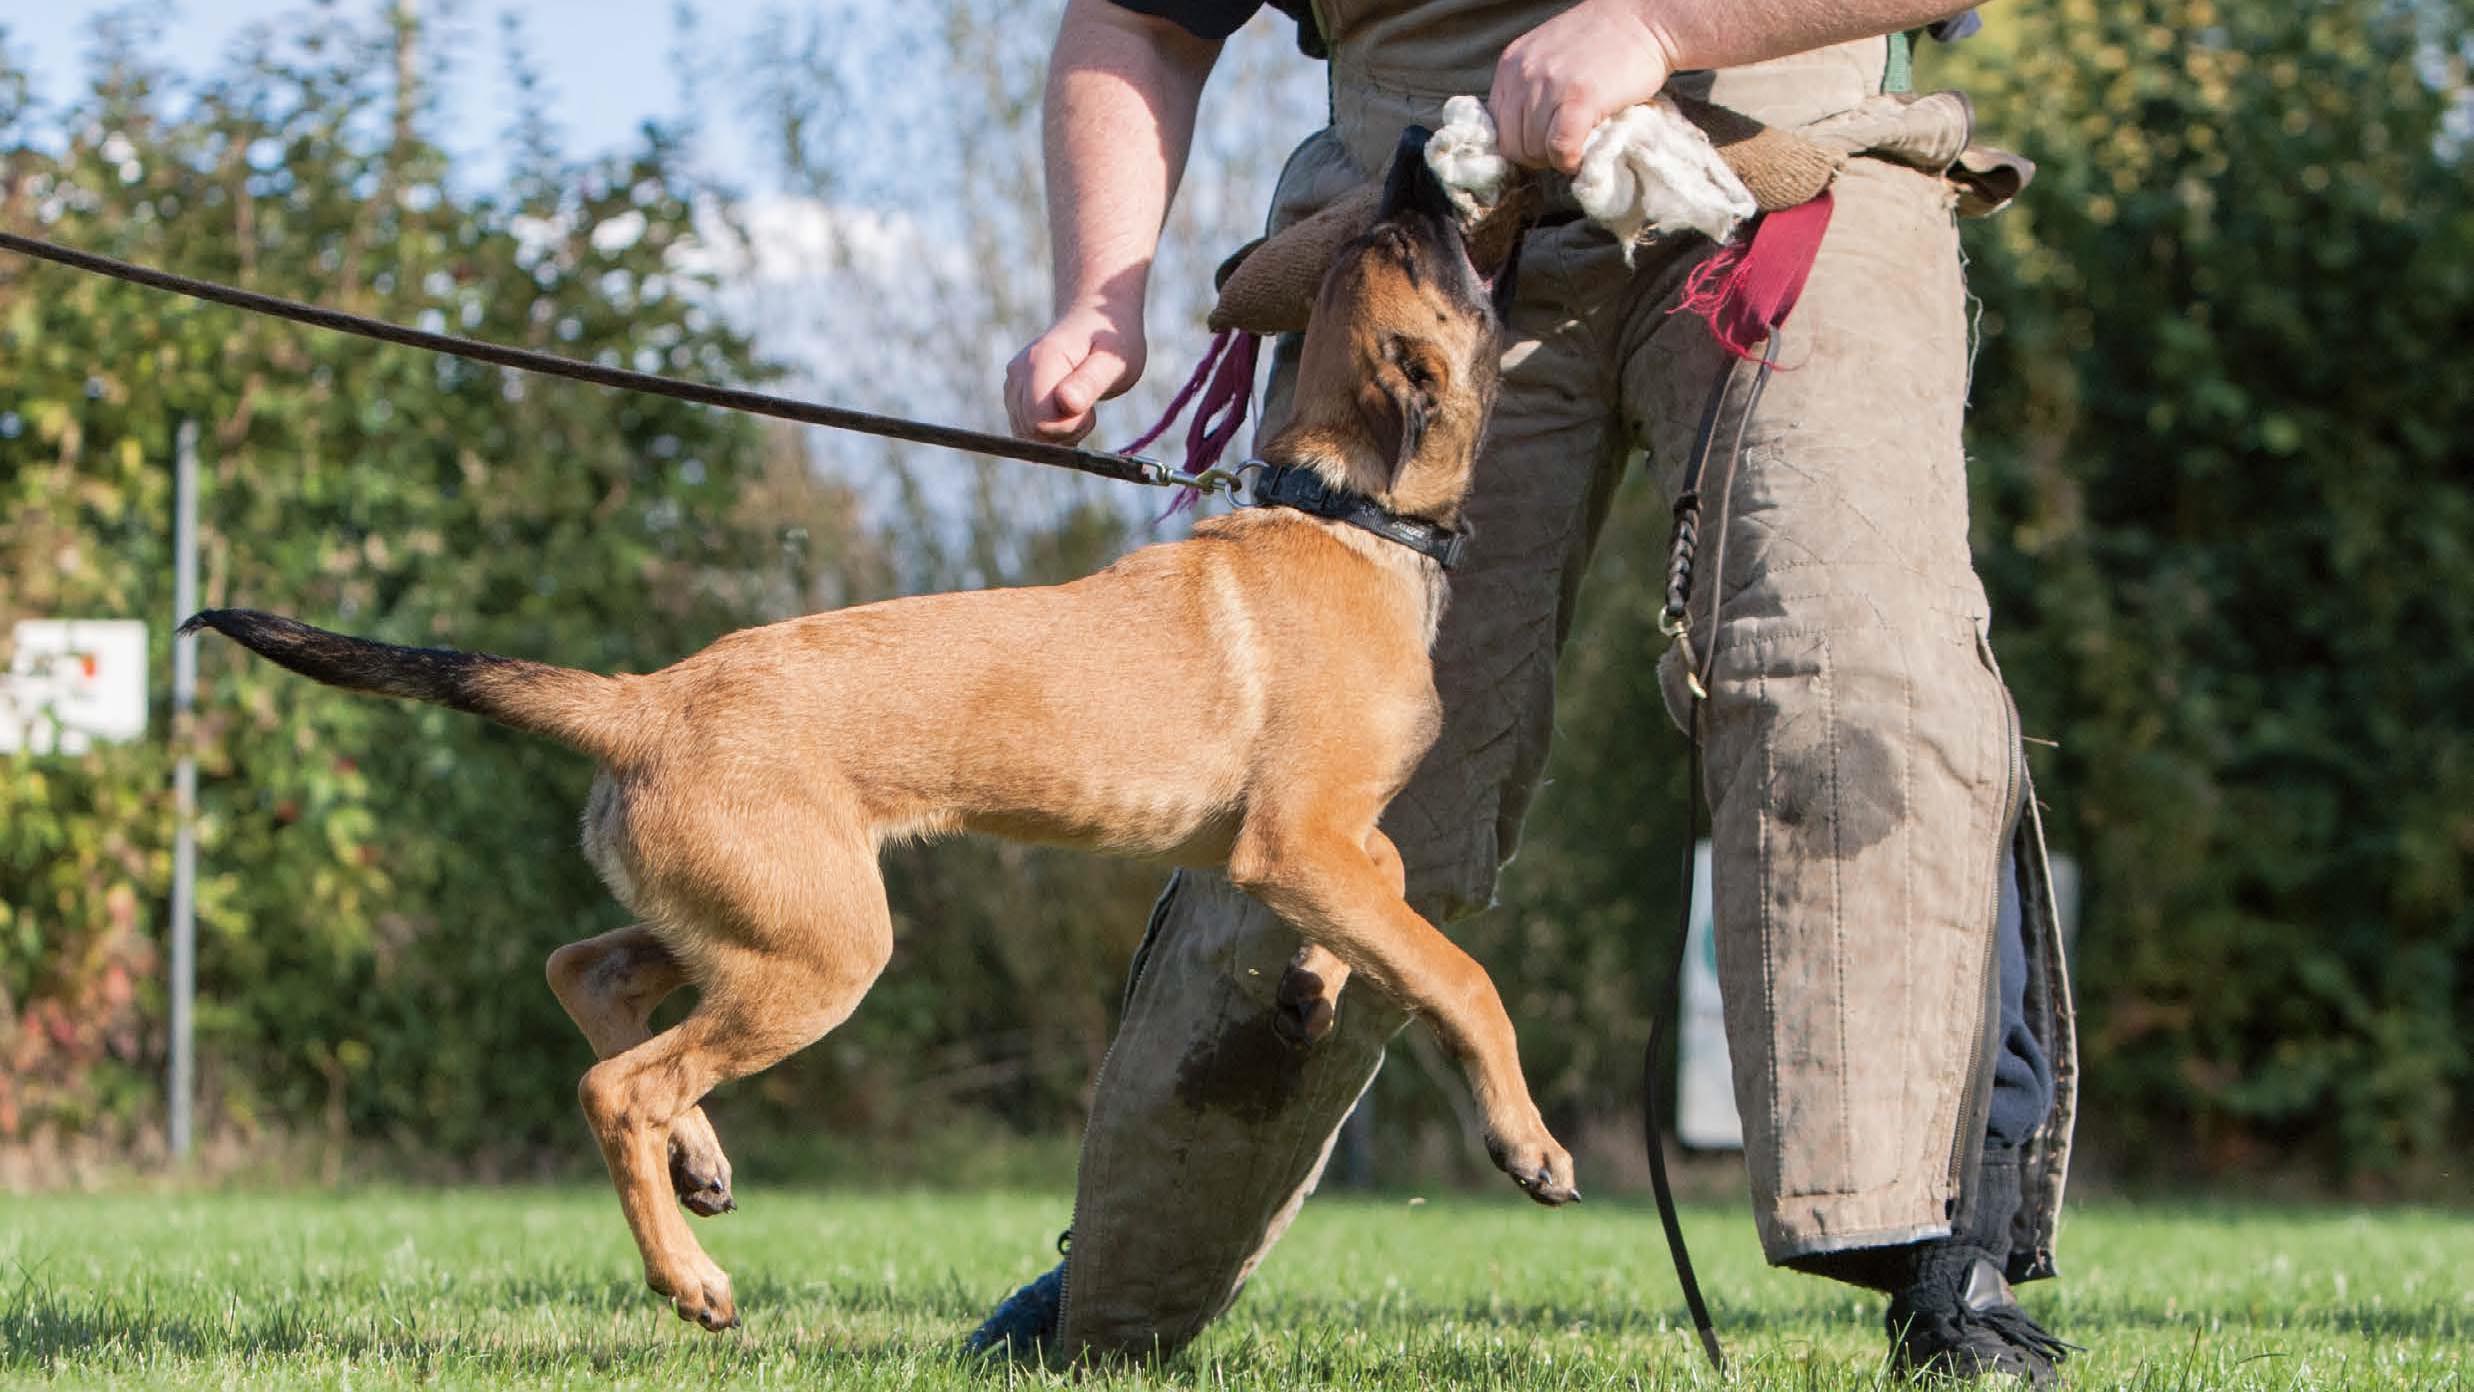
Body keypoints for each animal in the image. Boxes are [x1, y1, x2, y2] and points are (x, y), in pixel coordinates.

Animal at [197, 133, 1583, 1335]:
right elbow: (1461, 974)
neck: (1340, 511)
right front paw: (1525, 1140)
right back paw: (690, 1278)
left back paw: (699, 1163)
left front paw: (1320, 979)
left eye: (1380, 241)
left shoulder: (1310, 848)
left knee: (587, 973)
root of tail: (645, 696)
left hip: (752, 917)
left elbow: (1392, 896)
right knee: (618, 1085)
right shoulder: (1289, 844)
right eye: (1427, 248)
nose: (1414, 149)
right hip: (821, 950)